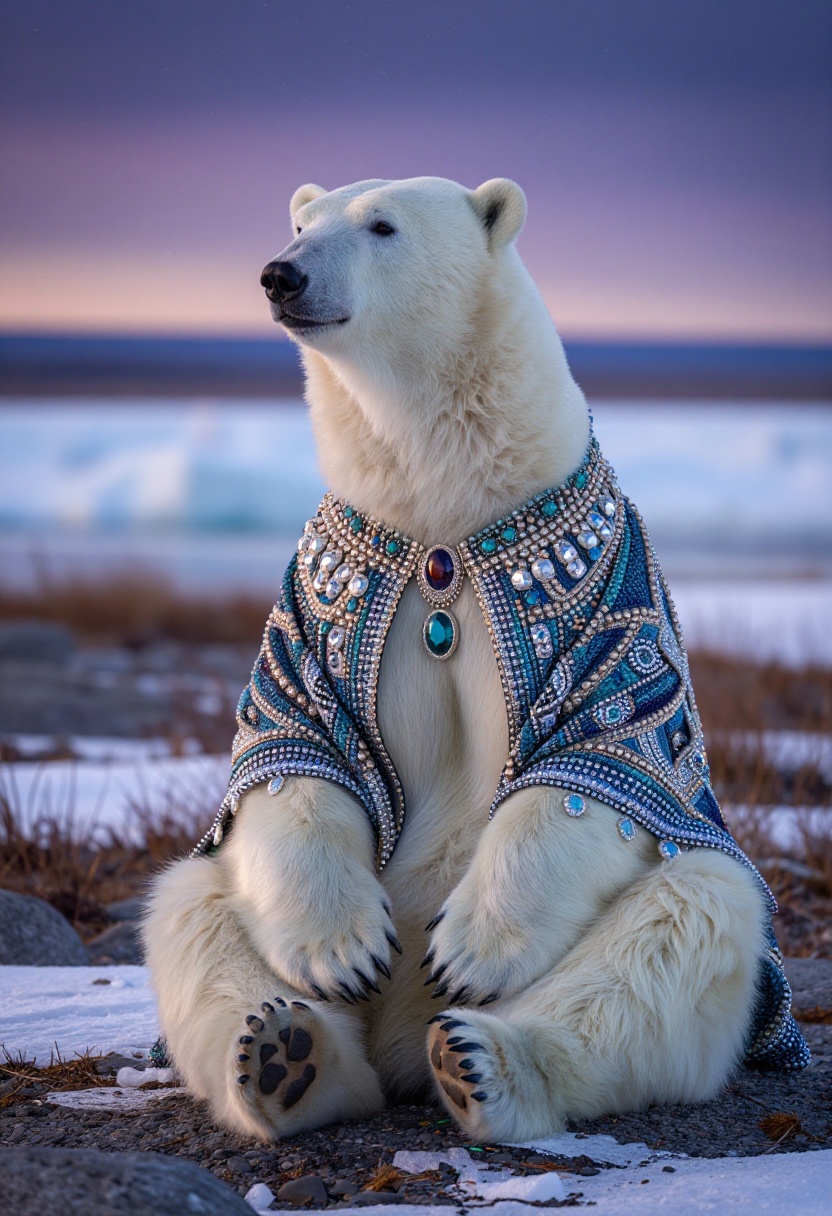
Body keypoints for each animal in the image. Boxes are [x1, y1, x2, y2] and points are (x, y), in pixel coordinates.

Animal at [142, 176, 807, 1144]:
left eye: (381, 226)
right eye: (300, 223)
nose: (281, 275)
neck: (445, 511)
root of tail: (398, 1044)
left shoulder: (606, 593)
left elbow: (596, 758)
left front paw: (466, 950)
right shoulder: (323, 603)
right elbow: (295, 751)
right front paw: (345, 949)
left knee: (692, 912)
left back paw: (481, 1059)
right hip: (230, 913)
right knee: (189, 908)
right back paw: (287, 1056)